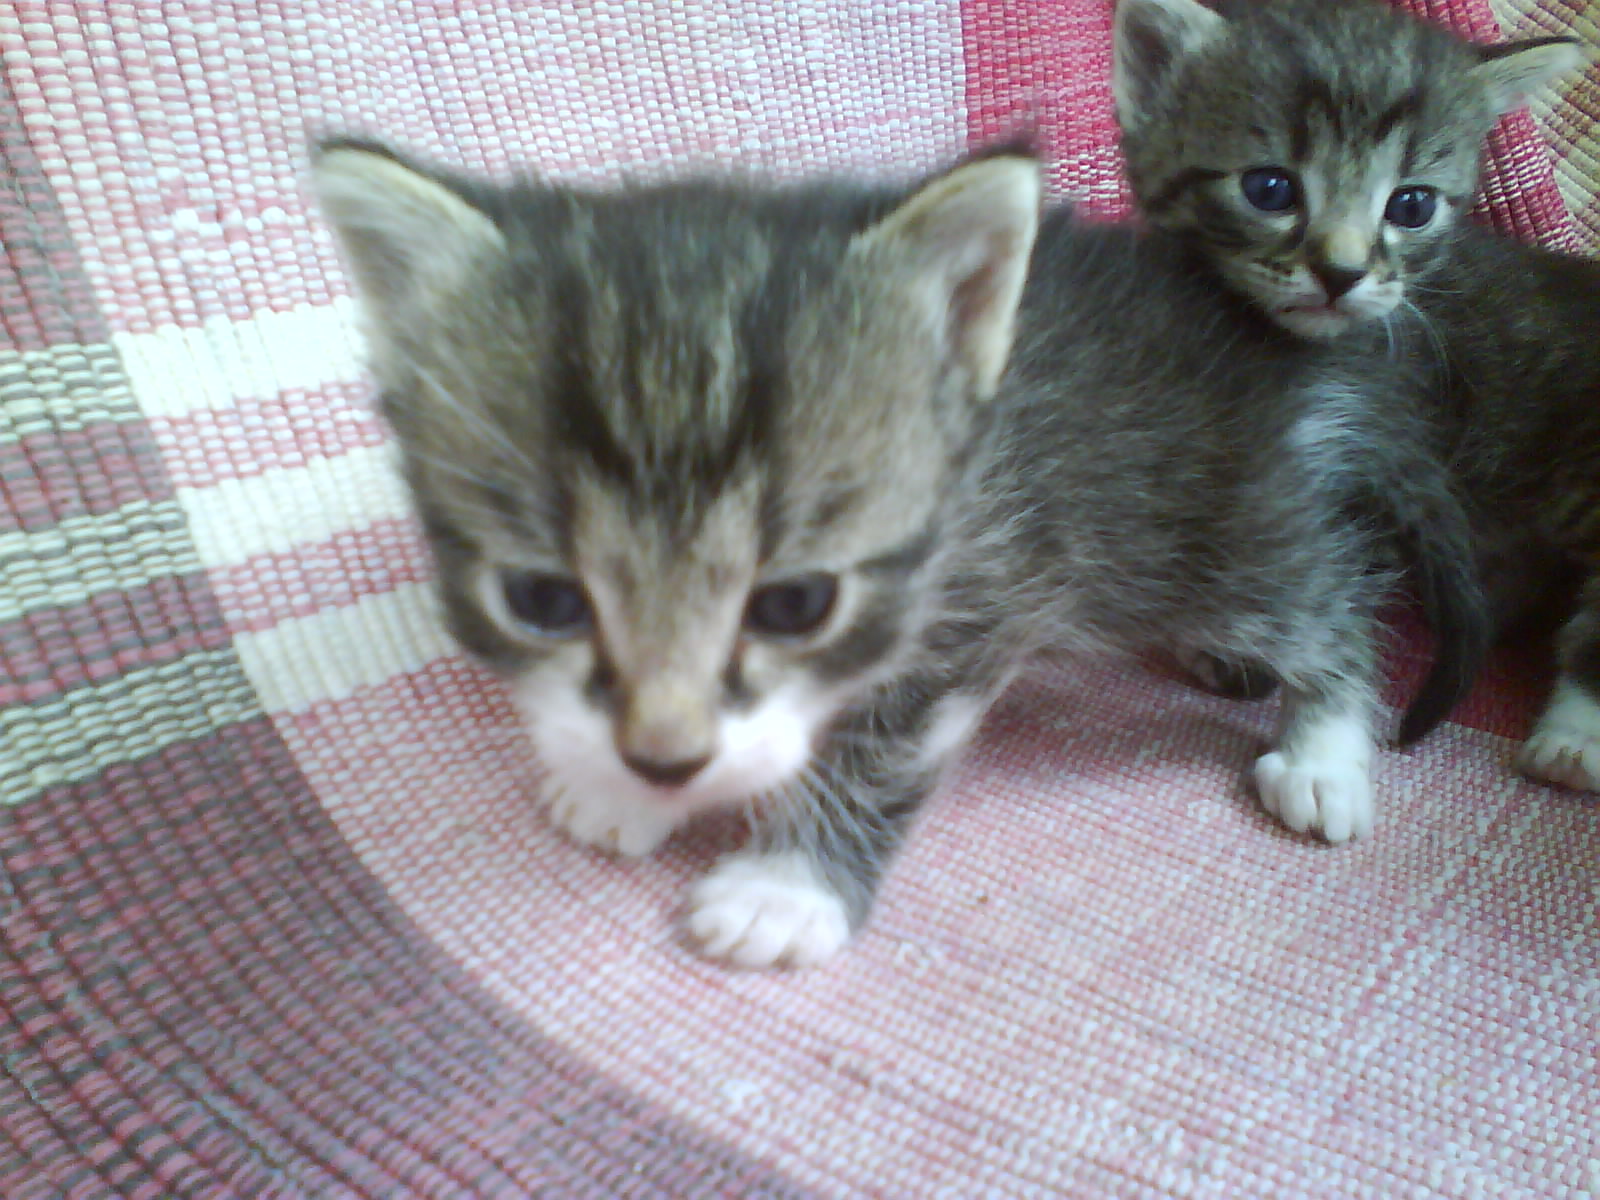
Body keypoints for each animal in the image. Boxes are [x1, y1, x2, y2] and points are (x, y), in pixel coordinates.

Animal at [313, 137, 1486, 969]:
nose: (662, 758)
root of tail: (1296, 352)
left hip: (1210, 539)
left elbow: (875, 748)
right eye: (541, 599)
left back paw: (1326, 753)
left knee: (1331, 600)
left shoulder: (980, 593)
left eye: (795, 605)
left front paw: (785, 890)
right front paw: (624, 792)